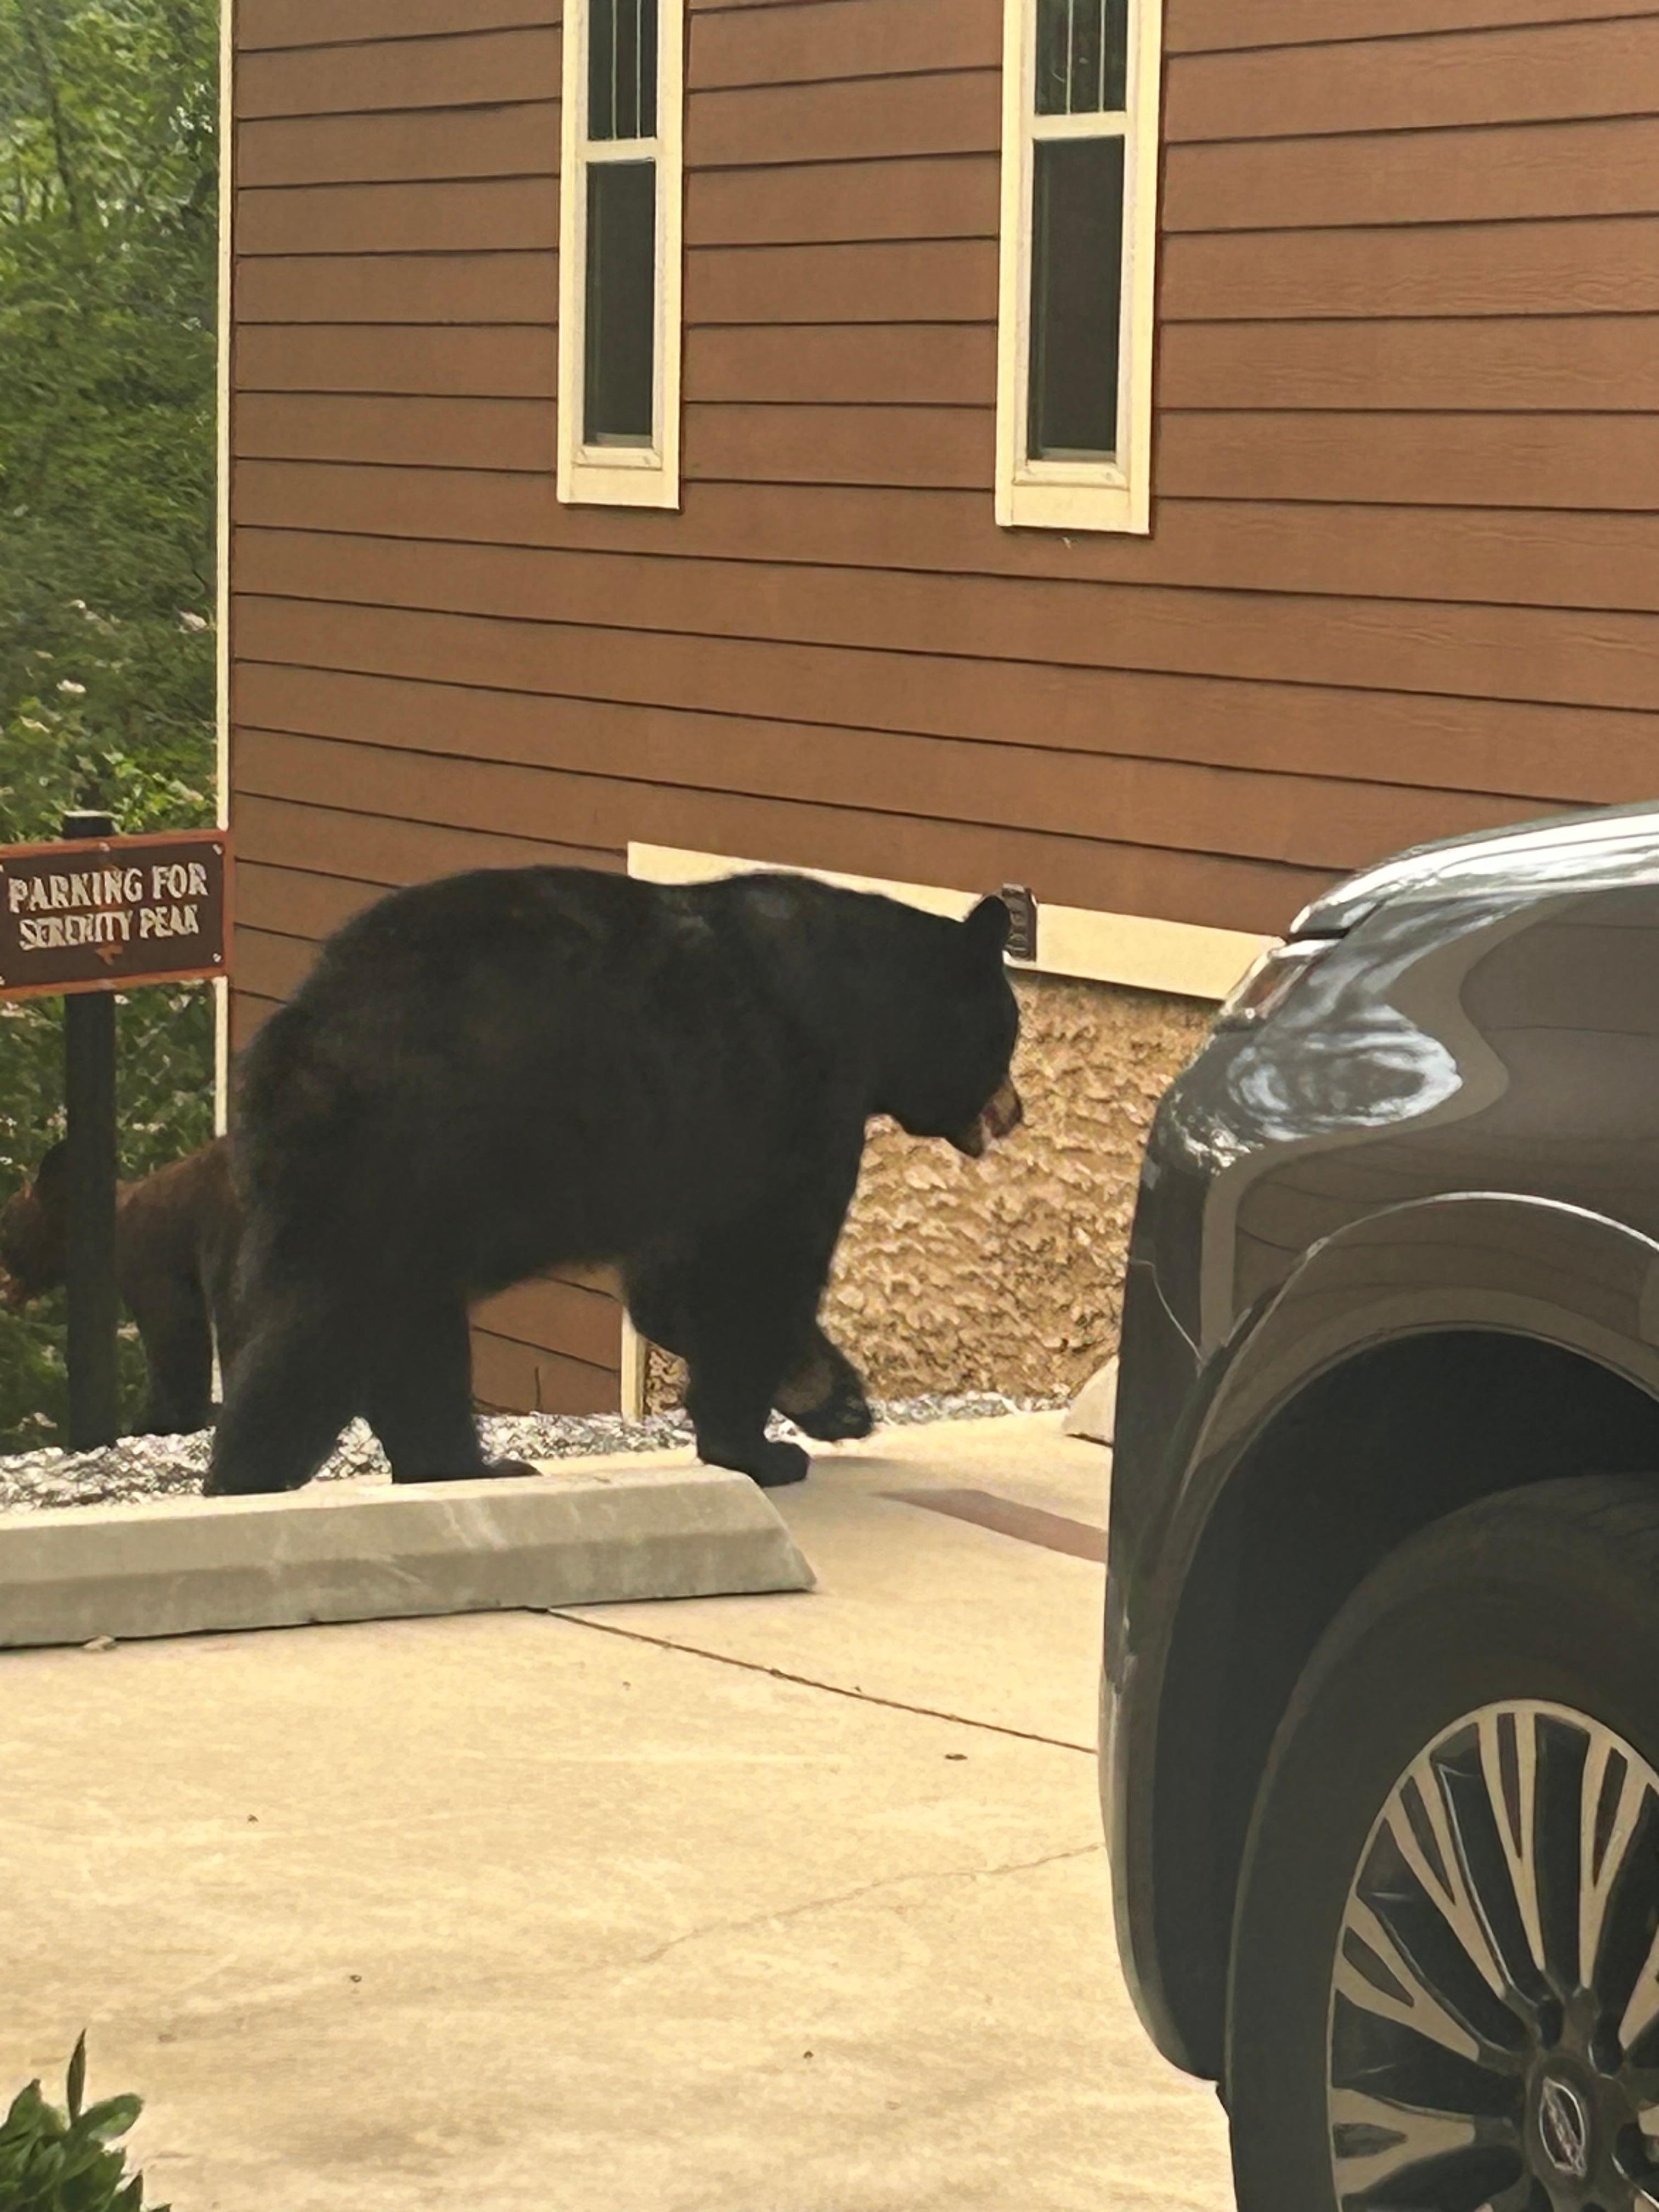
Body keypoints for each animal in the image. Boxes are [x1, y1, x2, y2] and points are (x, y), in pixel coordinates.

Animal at [205, 867, 1022, 1497]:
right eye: (1011, 1032)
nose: (1017, 1111)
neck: (867, 1007)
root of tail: (296, 1034)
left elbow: (676, 1284)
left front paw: (831, 1395)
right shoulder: (792, 1102)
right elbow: (757, 1268)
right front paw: (760, 1451)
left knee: (410, 1333)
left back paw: (470, 1469)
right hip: (395, 1165)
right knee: (322, 1331)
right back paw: (246, 1484)